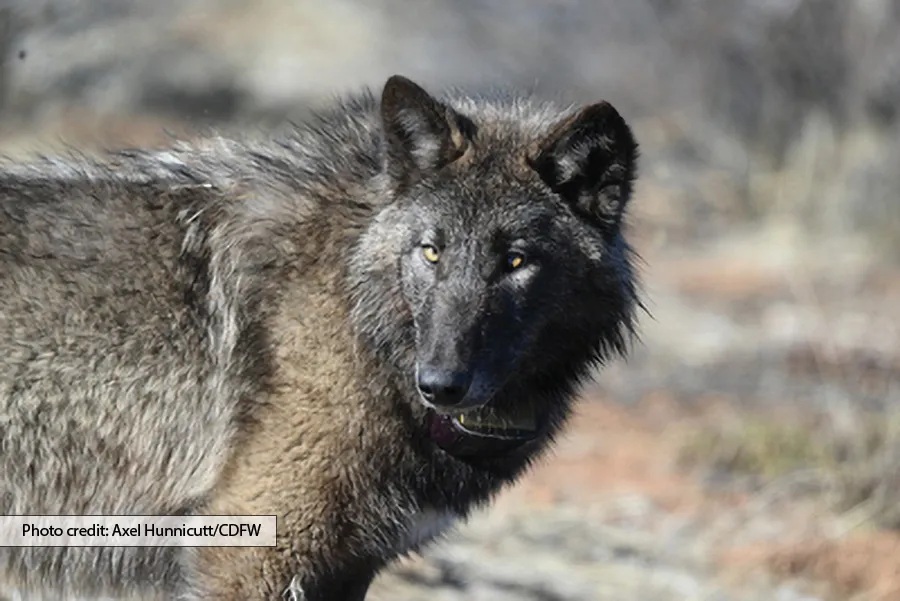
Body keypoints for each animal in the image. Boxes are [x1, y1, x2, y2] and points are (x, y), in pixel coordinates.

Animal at [0, 74, 640, 600]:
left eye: (515, 261)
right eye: (431, 251)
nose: (440, 385)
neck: (358, 314)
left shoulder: (346, 566)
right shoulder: (253, 556)